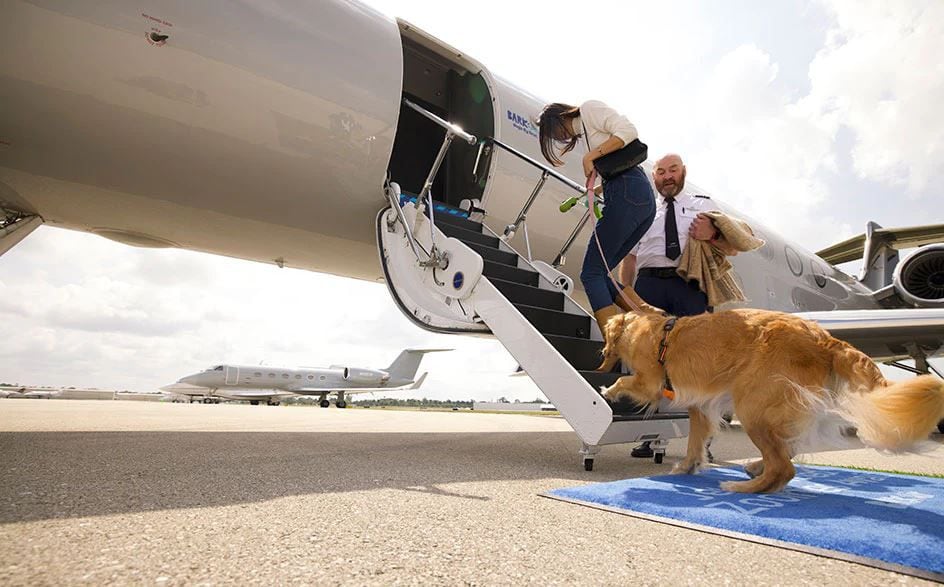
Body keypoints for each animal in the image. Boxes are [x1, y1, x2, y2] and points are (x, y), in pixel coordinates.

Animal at [600, 310, 944, 494]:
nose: (603, 354)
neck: (648, 328)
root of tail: (825, 338)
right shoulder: (700, 404)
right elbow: (696, 441)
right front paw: (688, 465)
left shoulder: (650, 382)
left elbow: (627, 382)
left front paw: (608, 390)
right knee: (786, 451)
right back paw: (755, 468)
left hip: (753, 406)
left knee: (784, 467)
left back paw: (744, 488)